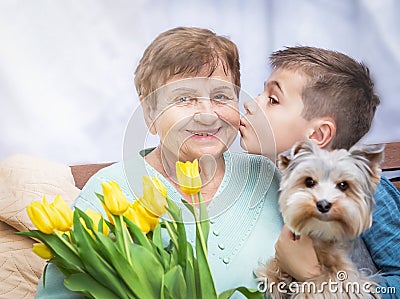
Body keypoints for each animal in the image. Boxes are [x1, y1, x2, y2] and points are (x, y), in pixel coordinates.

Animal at [256, 141, 384, 299]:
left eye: (343, 185)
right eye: (309, 181)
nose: (323, 204)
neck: (320, 232)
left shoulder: (350, 277)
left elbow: (324, 283)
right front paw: (273, 278)